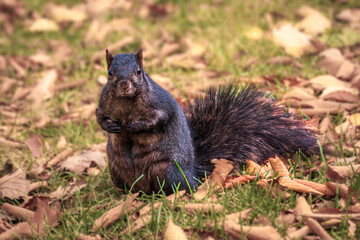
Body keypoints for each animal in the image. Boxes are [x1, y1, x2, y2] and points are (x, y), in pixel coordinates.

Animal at [96, 49, 318, 195]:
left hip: (166, 171)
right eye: (110, 72)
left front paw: (135, 125)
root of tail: (192, 174)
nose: (124, 85)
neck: (127, 102)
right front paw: (110, 126)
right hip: (117, 170)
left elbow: (159, 119)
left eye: (139, 71)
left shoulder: (160, 104)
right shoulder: (103, 104)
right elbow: (99, 117)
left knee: (180, 189)